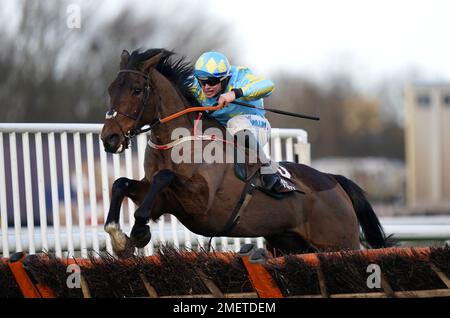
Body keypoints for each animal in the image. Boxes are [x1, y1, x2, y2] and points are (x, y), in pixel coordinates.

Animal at [100, 47, 388, 256]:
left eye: (137, 90)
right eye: (111, 89)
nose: (109, 138)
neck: (179, 142)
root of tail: (334, 180)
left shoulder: (202, 201)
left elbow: (164, 177)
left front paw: (138, 231)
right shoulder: (162, 200)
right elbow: (121, 183)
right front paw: (119, 236)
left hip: (341, 244)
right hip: (288, 244)